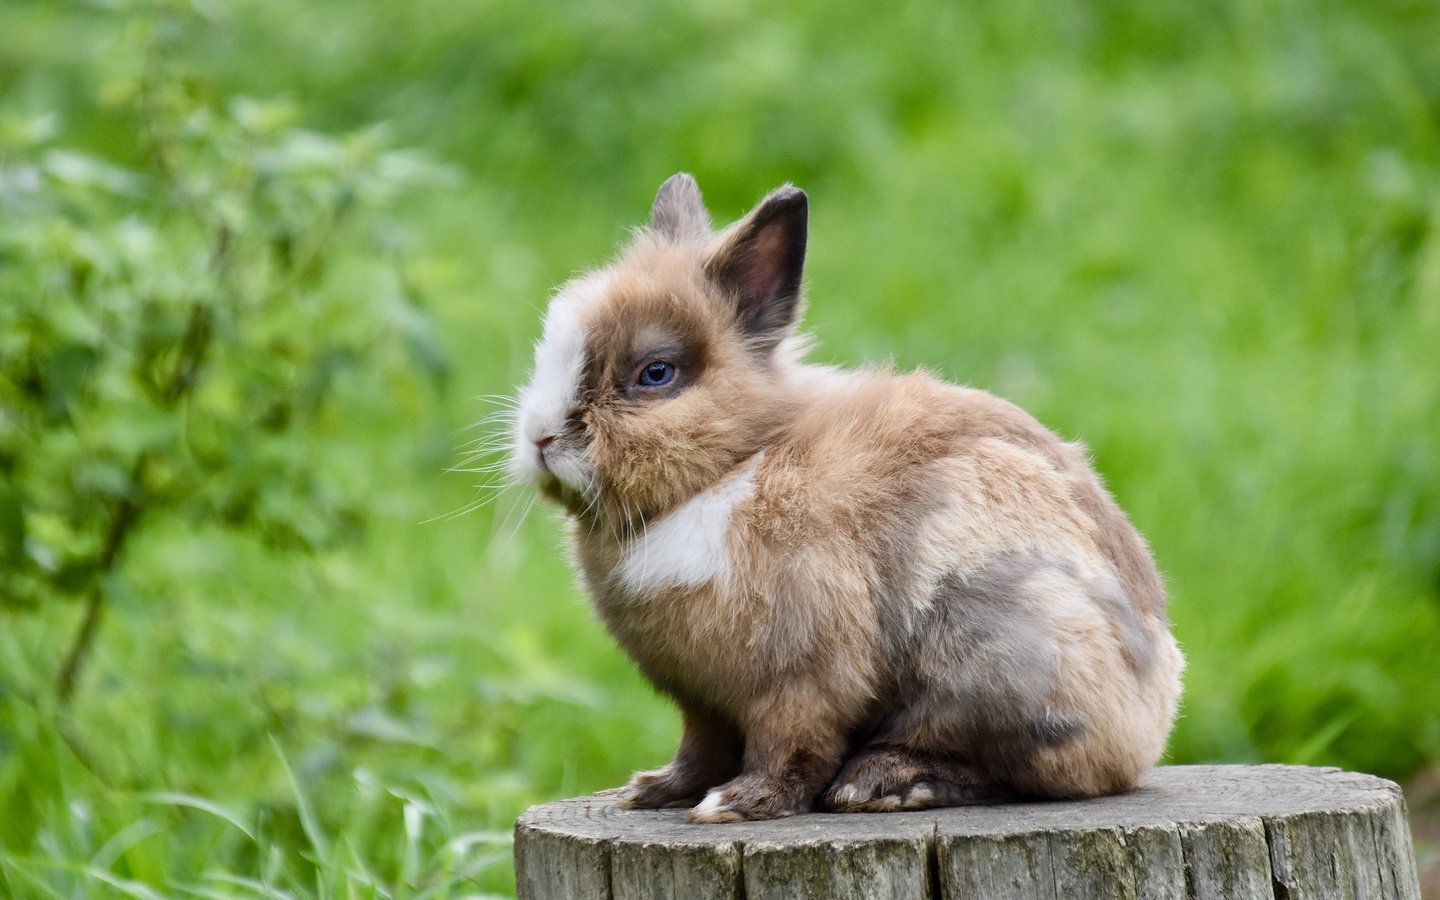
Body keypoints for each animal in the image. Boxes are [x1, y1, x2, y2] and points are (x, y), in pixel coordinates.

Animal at [506, 173, 1180, 823]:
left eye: (656, 373)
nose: (541, 437)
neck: (735, 467)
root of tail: (1154, 716)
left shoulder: (800, 676)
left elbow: (790, 746)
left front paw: (735, 806)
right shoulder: (703, 702)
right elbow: (700, 751)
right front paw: (653, 791)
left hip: (998, 653)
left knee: (1011, 771)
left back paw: (879, 783)